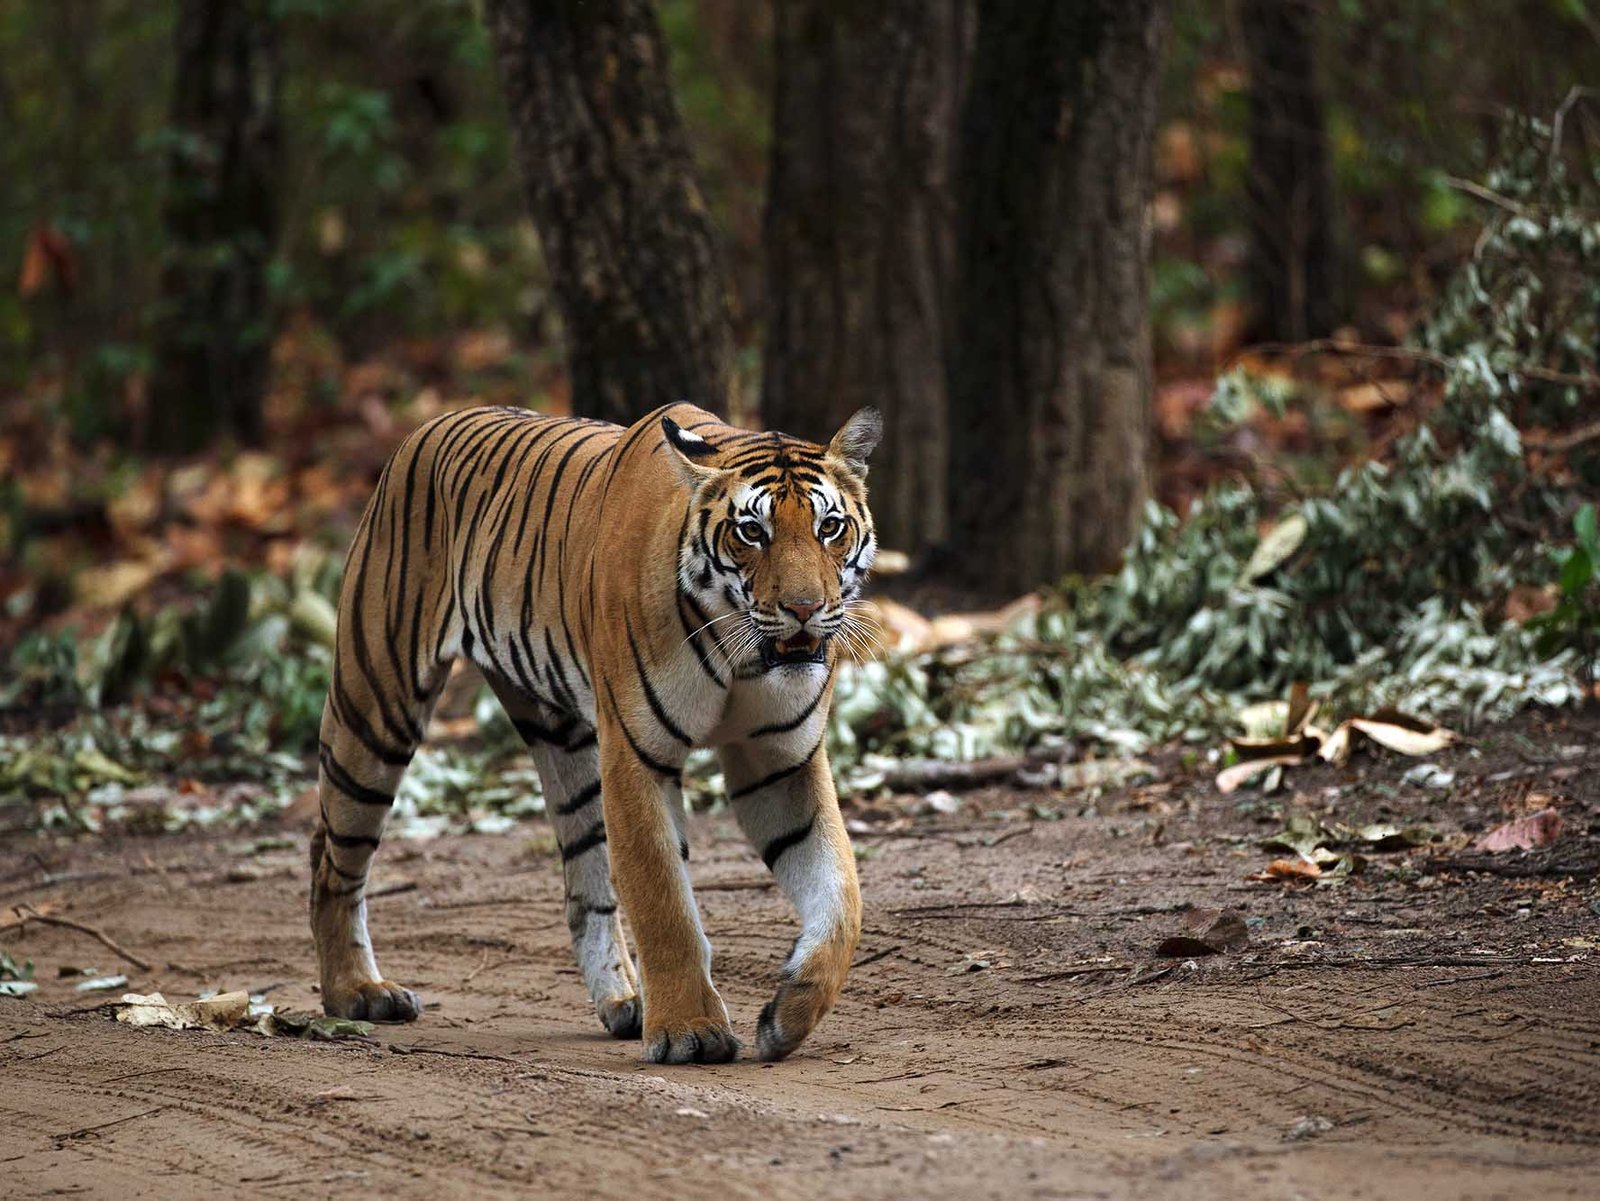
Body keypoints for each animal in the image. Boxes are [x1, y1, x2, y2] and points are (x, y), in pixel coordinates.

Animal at [305, 401, 883, 1061]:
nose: (805, 609)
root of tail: (426, 426)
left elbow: (842, 897)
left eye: (830, 528)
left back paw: (624, 1001)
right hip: (377, 706)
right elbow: (663, 900)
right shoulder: (636, 752)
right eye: (752, 532)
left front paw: (787, 1014)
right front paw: (689, 1032)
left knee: (586, 888)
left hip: (562, 741)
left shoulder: (780, 761)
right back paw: (357, 992)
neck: (743, 657)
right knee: (331, 855)